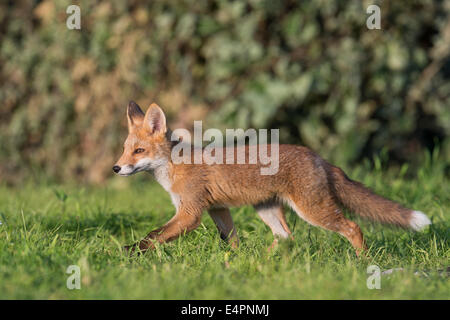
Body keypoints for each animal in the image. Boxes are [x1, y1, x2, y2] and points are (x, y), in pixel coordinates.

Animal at [114, 101, 430, 256]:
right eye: (125, 149)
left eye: (139, 151)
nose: (116, 168)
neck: (175, 167)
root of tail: (318, 157)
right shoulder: (218, 209)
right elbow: (231, 240)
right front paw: (235, 262)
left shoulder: (190, 212)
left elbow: (153, 236)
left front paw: (129, 252)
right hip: (266, 208)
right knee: (286, 237)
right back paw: (264, 259)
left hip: (312, 210)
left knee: (352, 228)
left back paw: (363, 261)